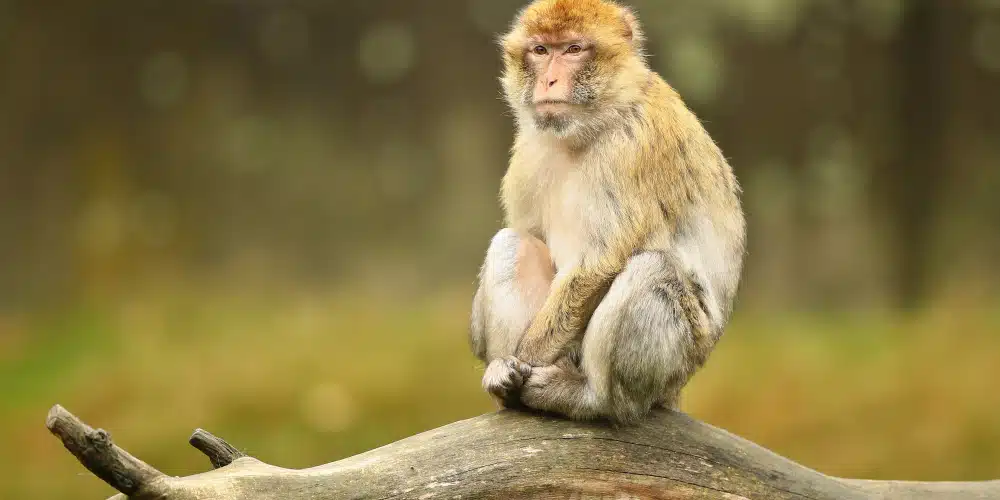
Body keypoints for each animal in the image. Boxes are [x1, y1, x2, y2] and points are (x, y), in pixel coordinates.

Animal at [468, 0, 746, 425]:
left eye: (573, 50)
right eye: (540, 50)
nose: (549, 81)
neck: (591, 124)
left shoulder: (634, 146)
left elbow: (600, 264)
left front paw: (527, 359)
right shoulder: (529, 150)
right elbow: (528, 234)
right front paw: (497, 358)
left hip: (674, 365)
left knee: (653, 269)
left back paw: (591, 398)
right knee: (513, 243)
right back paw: (507, 383)